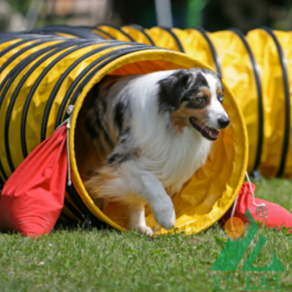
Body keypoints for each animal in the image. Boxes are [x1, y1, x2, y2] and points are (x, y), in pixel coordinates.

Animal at [74, 68, 229, 235]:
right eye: (200, 99)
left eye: (220, 97)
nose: (226, 121)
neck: (169, 123)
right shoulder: (119, 160)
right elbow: (150, 180)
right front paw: (166, 215)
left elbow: (137, 198)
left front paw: (138, 227)